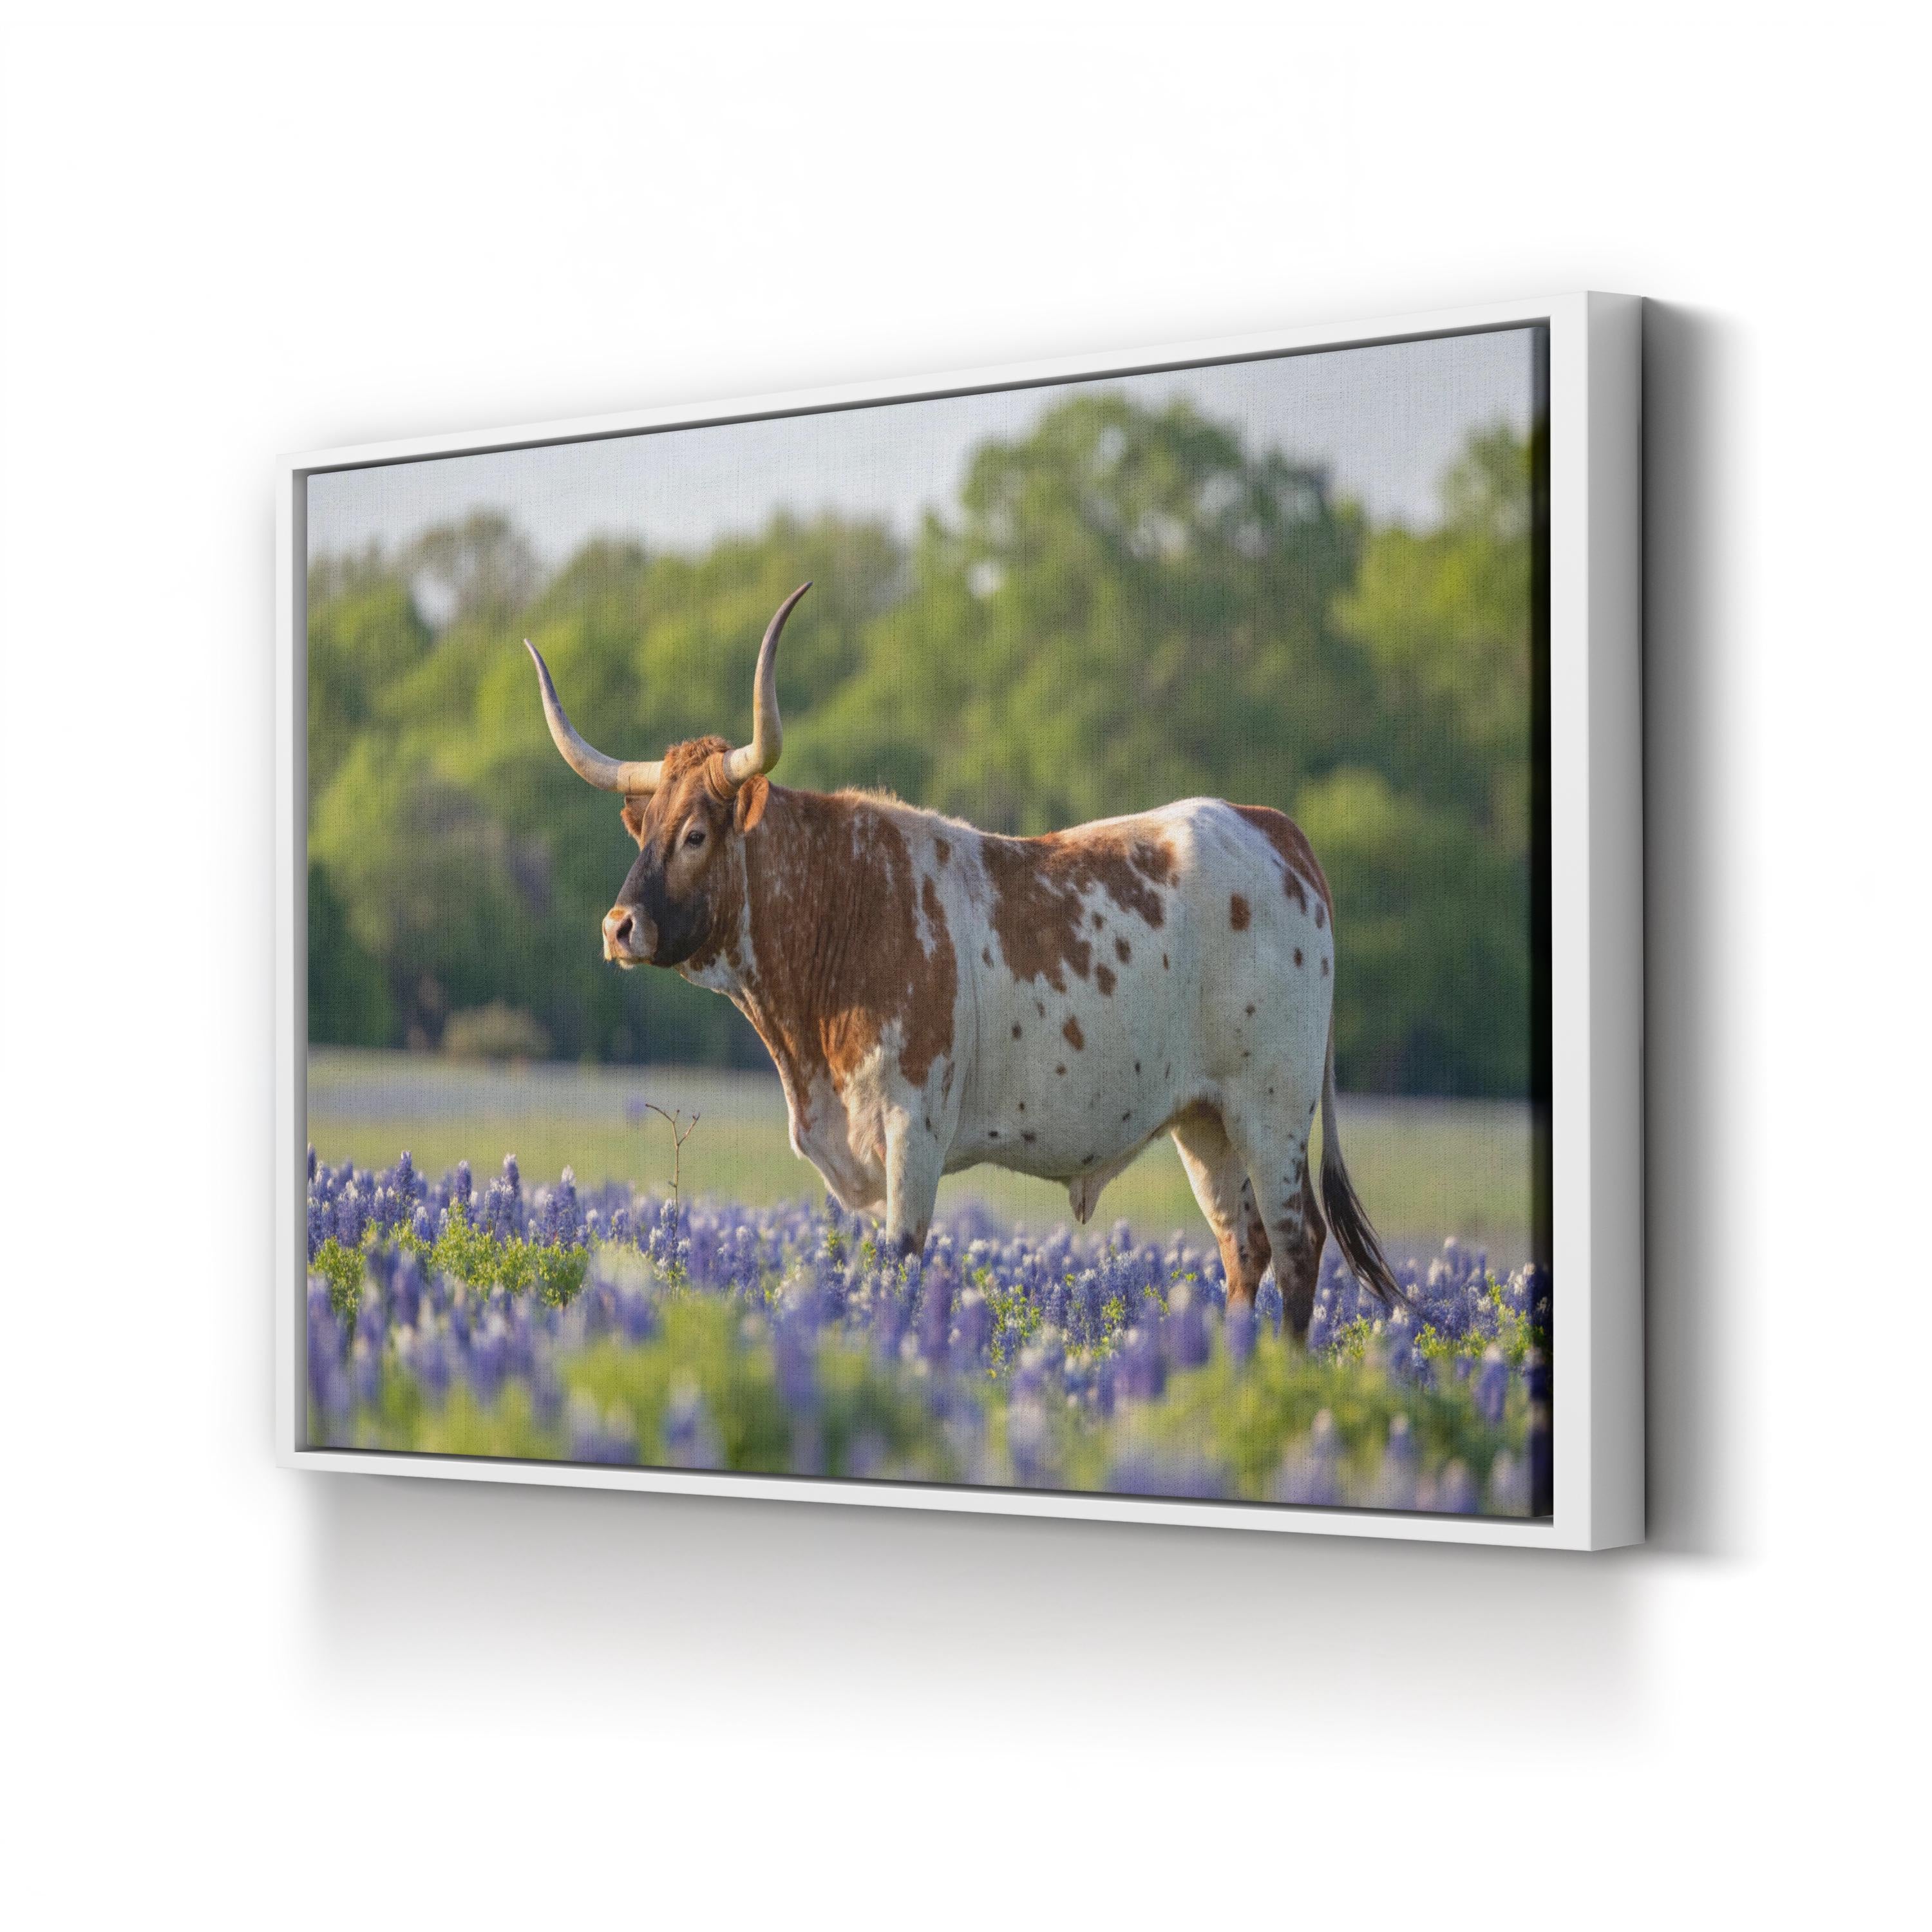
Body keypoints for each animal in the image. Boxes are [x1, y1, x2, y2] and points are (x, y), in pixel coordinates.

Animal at [523, 582, 1402, 1336]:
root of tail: (1272, 827)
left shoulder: (913, 1130)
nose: (619, 927)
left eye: (697, 834)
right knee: (1243, 1248)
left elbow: (900, 1267)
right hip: (1206, 1119)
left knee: (1297, 1247)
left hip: (1272, 1108)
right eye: (643, 829)